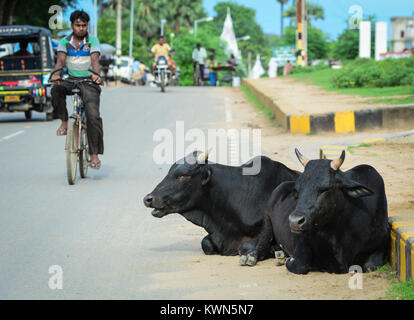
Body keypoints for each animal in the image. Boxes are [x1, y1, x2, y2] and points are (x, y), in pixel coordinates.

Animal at [241, 149, 390, 274]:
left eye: (325, 189)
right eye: (297, 190)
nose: (294, 222)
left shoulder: (379, 245)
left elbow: (370, 266)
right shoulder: (302, 243)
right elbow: (300, 265)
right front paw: (289, 260)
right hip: (267, 222)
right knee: (262, 244)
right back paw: (252, 256)